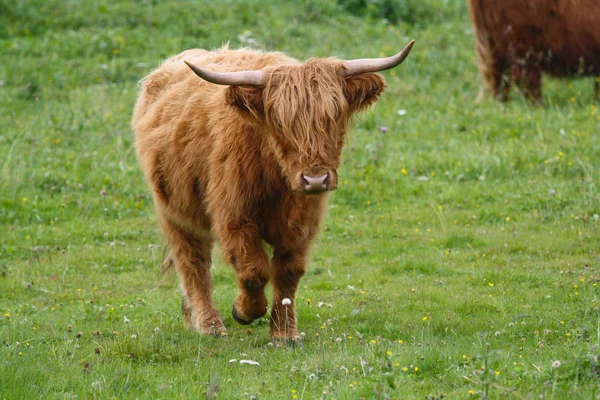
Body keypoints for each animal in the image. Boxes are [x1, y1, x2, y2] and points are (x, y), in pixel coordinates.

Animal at [131, 43, 412, 344]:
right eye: (280, 122)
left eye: (335, 115)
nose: (315, 179)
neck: (275, 177)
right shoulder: (233, 217)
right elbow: (254, 270)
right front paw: (243, 311)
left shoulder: (303, 222)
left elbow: (289, 272)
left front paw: (285, 333)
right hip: (174, 211)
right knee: (193, 263)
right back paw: (209, 324)